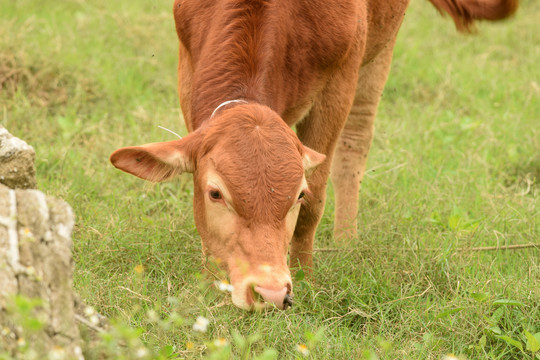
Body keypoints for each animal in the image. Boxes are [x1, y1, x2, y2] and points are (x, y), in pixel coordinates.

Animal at [108, 0, 516, 310]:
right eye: (215, 193)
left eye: (297, 195)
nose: (270, 292)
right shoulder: (188, 66)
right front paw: (212, 282)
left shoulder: (340, 81)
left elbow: (317, 202)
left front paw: (306, 278)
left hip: (380, 49)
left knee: (355, 143)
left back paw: (347, 239)